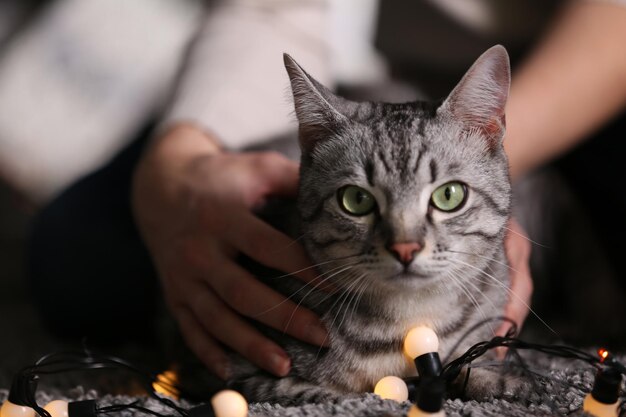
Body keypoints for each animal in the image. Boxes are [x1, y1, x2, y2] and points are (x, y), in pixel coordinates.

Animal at [229, 44, 512, 404]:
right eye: (356, 199)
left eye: (449, 195)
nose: (405, 248)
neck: (409, 326)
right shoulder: (245, 370)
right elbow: (310, 392)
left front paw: (499, 380)